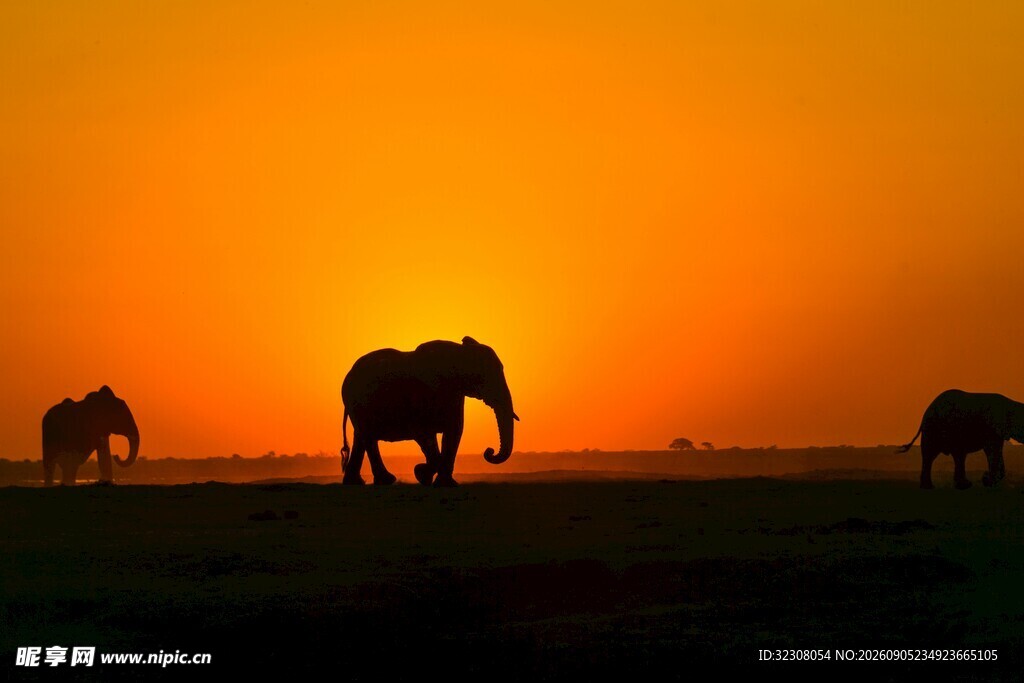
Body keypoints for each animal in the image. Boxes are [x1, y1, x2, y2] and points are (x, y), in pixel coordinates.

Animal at [340, 336, 519, 487]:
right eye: (483, 376)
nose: (489, 451)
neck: (458, 352)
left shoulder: (455, 395)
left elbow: (454, 432)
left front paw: (444, 484)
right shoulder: (423, 393)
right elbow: (424, 433)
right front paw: (422, 474)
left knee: (361, 437)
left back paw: (355, 483)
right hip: (356, 402)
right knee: (368, 436)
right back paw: (386, 481)